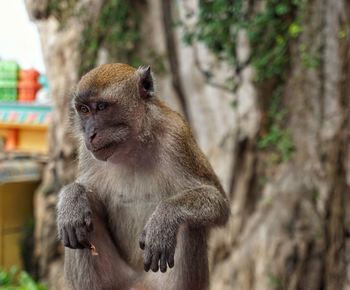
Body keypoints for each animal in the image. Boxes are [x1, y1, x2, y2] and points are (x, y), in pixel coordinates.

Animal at [56, 63, 231, 290]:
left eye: (101, 107)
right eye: (84, 110)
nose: (90, 134)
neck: (133, 146)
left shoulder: (177, 137)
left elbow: (217, 200)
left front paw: (164, 219)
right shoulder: (88, 153)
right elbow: (90, 195)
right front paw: (72, 198)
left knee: (189, 225)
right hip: (118, 281)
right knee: (84, 217)